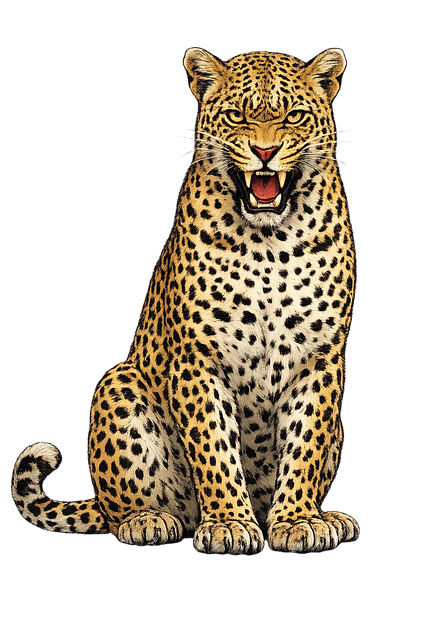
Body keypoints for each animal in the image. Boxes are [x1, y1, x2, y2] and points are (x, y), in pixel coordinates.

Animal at [11, 47, 360, 554]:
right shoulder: (198, 357)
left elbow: (305, 445)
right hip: (119, 385)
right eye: (236, 116)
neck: (271, 241)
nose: (266, 153)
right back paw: (151, 520)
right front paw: (229, 524)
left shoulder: (320, 357)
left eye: (294, 116)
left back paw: (327, 514)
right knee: (126, 510)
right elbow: (214, 446)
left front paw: (297, 520)